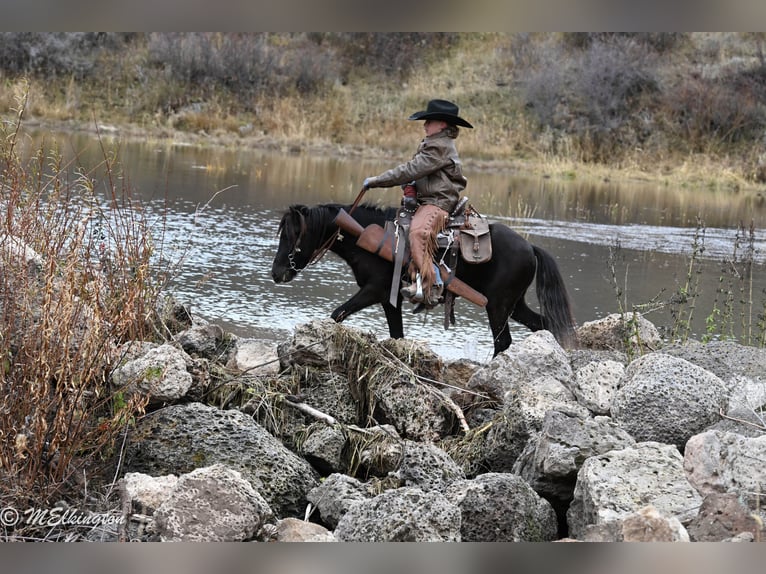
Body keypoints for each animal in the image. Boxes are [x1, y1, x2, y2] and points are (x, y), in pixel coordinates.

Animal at [271, 202, 577, 357]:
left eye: (293, 234)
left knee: (503, 342)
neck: (367, 236)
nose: (277, 273)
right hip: (514, 306)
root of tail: (530, 248)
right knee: (544, 325)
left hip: (498, 307)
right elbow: (397, 335)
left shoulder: (374, 291)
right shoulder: (389, 300)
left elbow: (337, 314)